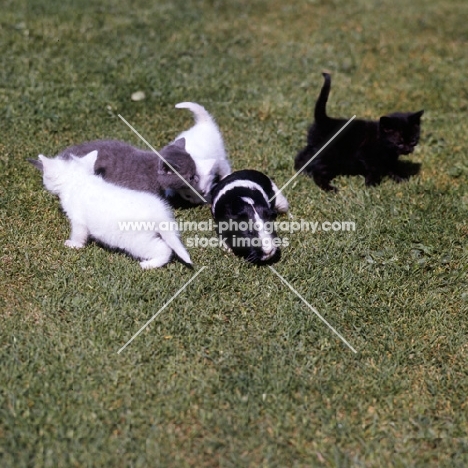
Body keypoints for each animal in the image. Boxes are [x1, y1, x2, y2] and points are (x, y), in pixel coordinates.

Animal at [34, 152, 192, 268]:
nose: (42, 182)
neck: (79, 179)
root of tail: (160, 213)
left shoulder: (78, 221)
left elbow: (79, 235)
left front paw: (74, 245)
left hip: (137, 241)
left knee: (164, 249)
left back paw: (149, 265)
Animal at [296, 73, 424, 190]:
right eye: (399, 142)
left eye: (413, 141)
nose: (408, 149)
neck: (381, 140)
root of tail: (325, 119)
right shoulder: (366, 154)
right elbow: (375, 169)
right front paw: (371, 184)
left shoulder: (388, 159)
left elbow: (392, 168)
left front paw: (402, 180)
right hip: (329, 157)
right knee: (318, 173)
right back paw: (329, 188)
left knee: (302, 156)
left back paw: (301, 170)